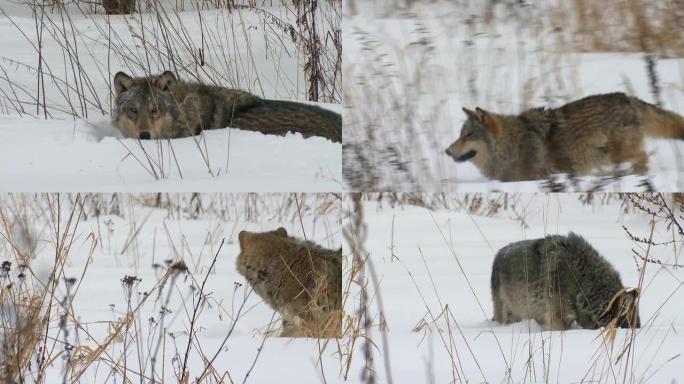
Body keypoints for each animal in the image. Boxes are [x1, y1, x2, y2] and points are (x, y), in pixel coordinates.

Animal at [444, 94, 684, 182]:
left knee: (643, 158)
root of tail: (627, 97)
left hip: (619, 154)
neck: (512, 146)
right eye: (460, 135)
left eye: (468, 135)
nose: (446, 151)